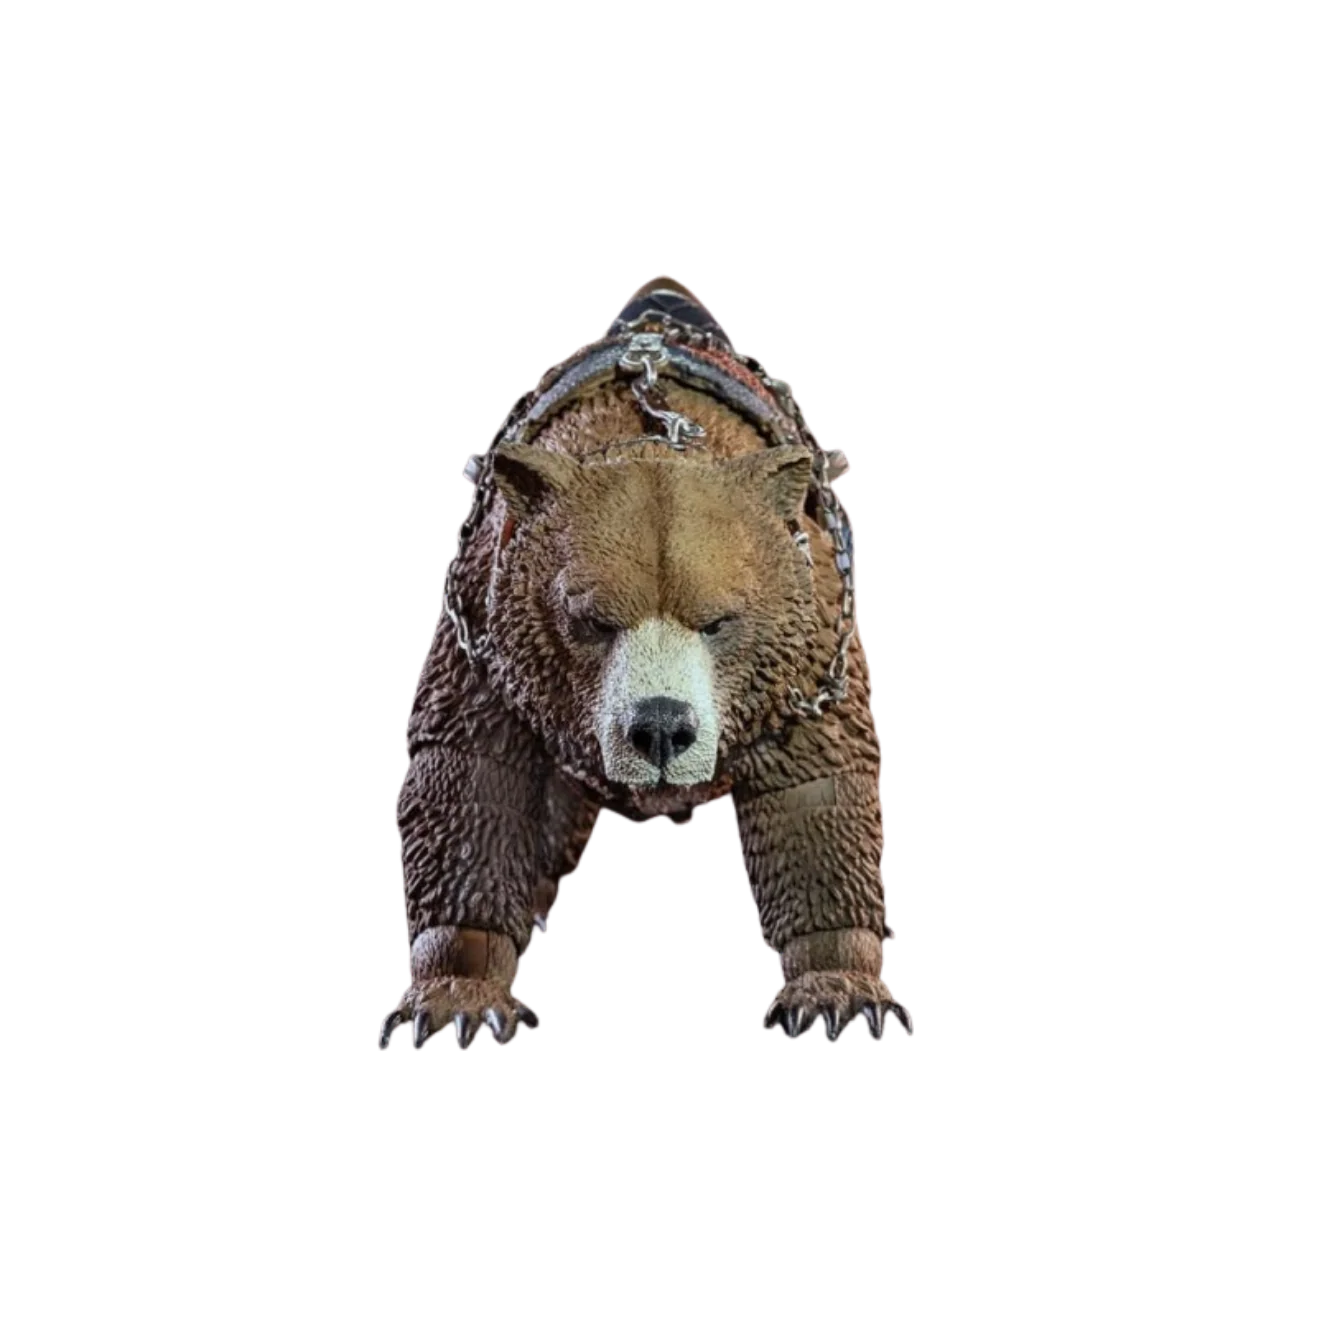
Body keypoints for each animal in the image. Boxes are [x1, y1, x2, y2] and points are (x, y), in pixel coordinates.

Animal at [381, 275, 913, 1050]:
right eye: (590, 620)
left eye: (719, 621)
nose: (661, 728)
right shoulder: (489, 632)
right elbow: (473, 779)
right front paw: (454, 998)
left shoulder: (808, 648)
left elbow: (817, 795)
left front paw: (840, 996)